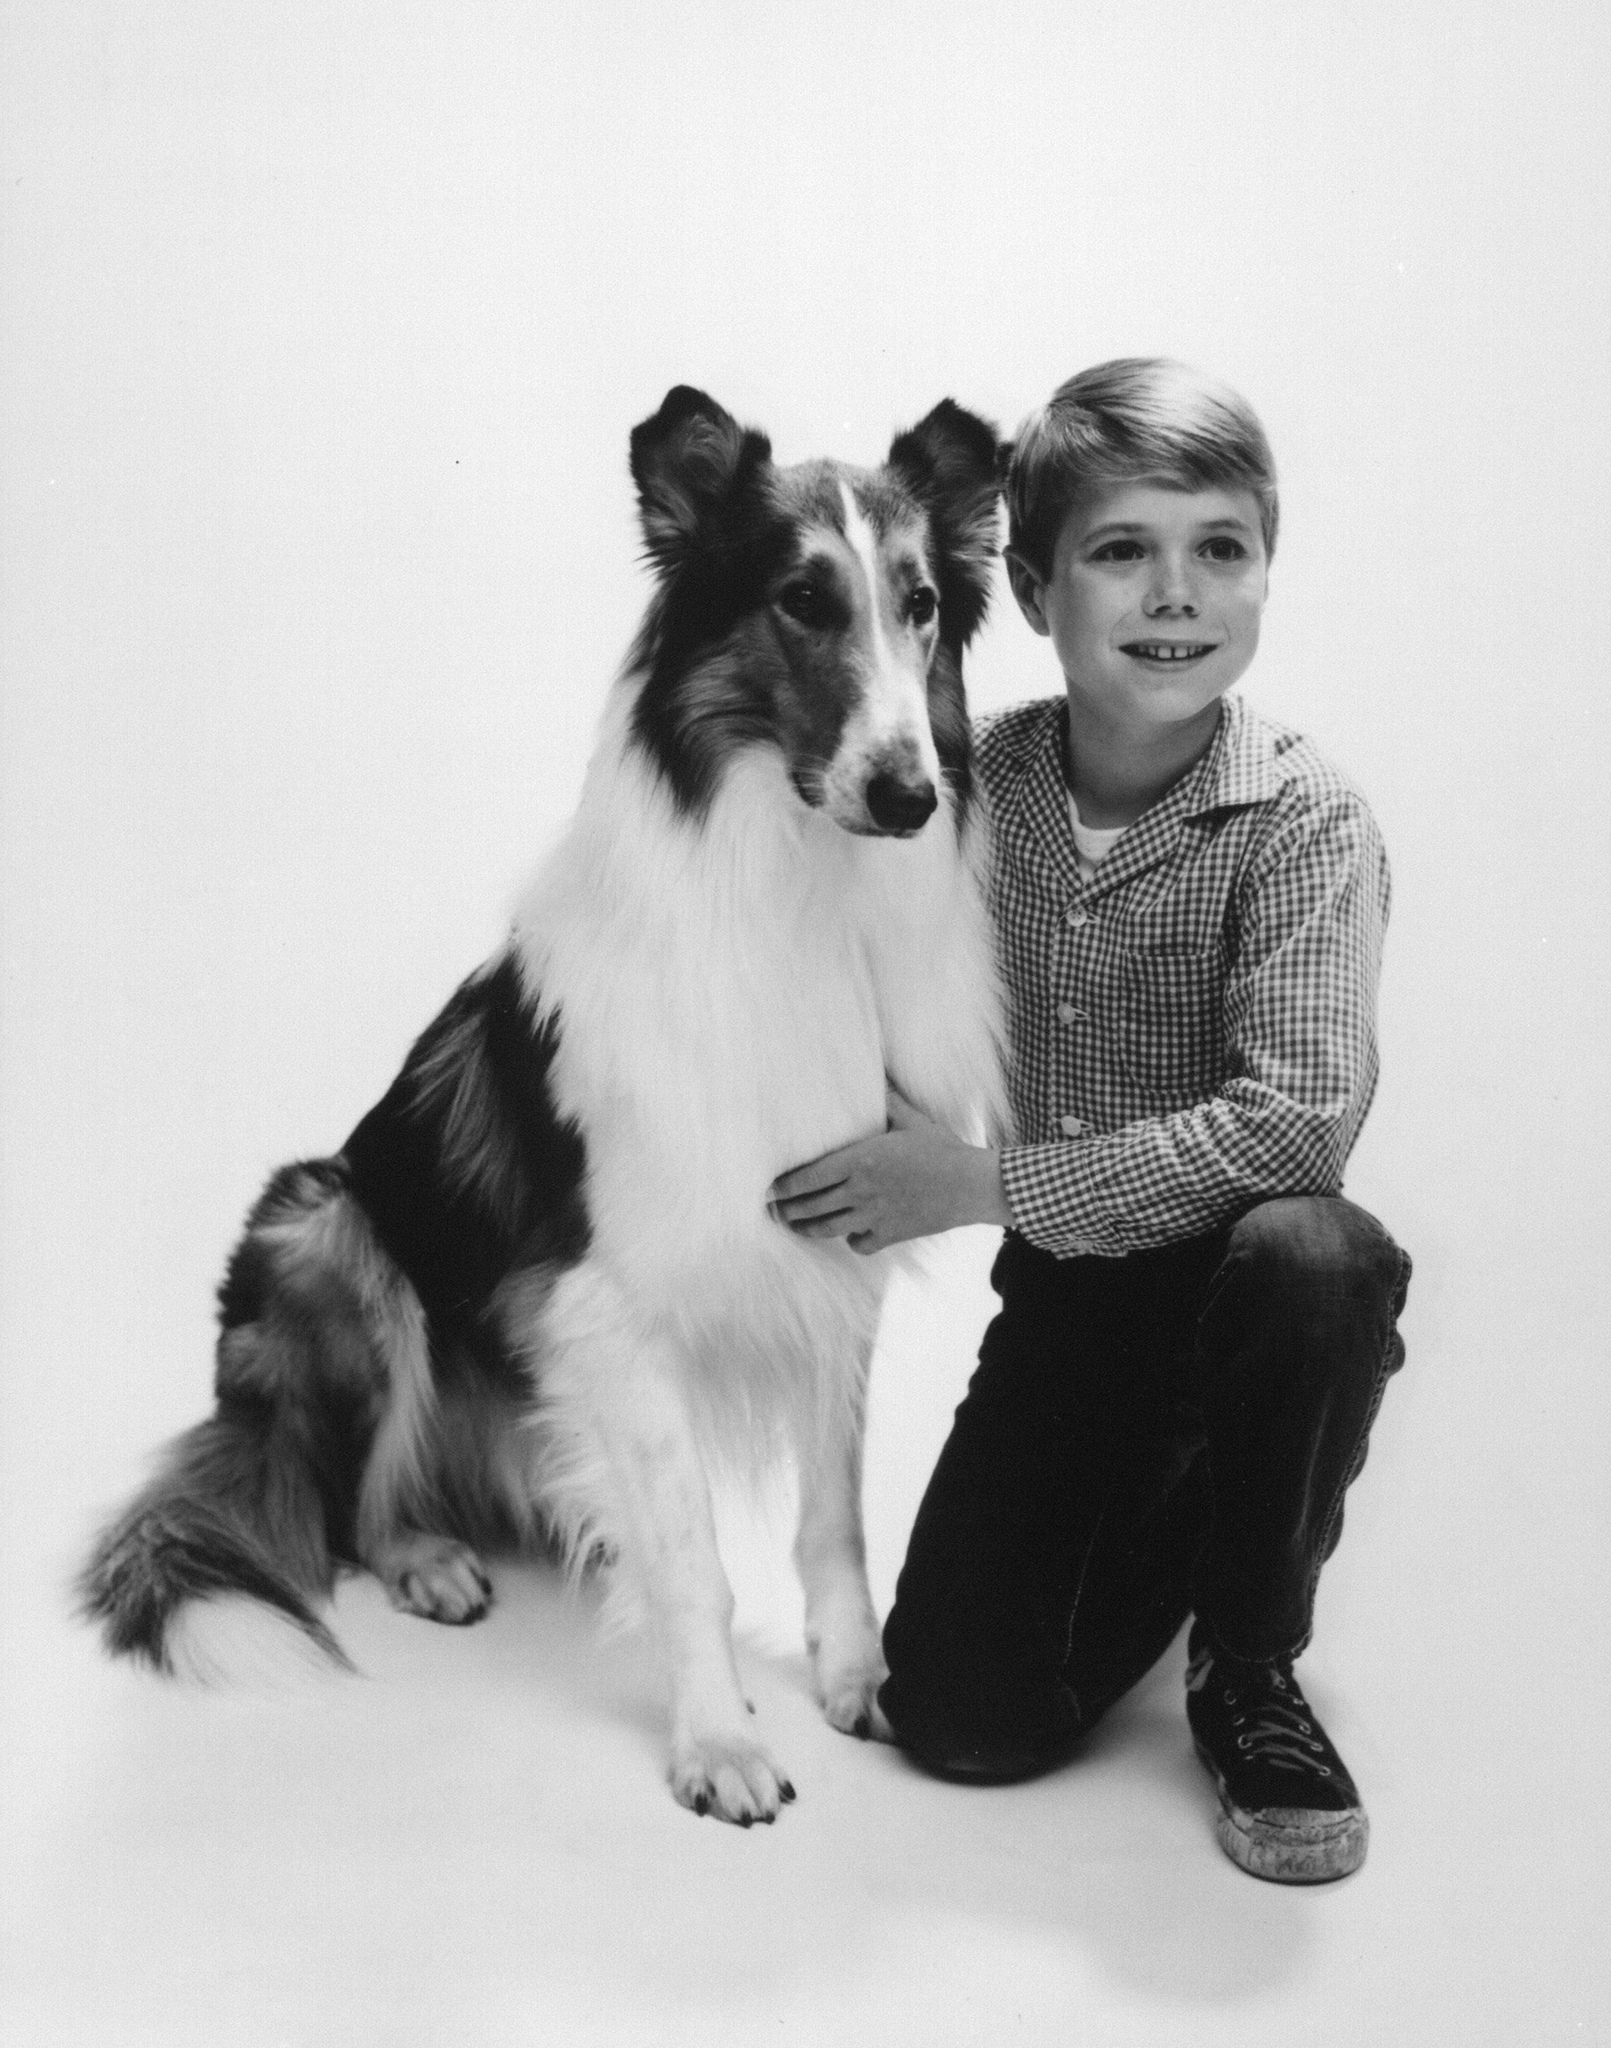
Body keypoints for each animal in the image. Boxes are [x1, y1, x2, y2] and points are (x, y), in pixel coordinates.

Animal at [81, 385, 1007, 1826]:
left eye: (919, 602)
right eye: (800, 600)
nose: (908, 796)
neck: (791, 886)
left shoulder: (829, 1253)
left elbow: (832, 1519)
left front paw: (856, 1679)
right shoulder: (604, 1305)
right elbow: (691, 1558)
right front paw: (719, 1740)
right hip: (329, 1222)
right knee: (354, 1503)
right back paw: (426, 1559)